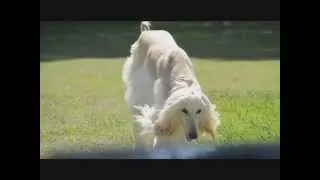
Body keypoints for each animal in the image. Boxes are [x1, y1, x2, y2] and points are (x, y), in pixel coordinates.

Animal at [122, 21, 220, 150]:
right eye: (184, 110)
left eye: (199, 111)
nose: (193, 135)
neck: (182, 74)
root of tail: (146, 31)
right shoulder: (165, 107)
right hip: (138, 82)